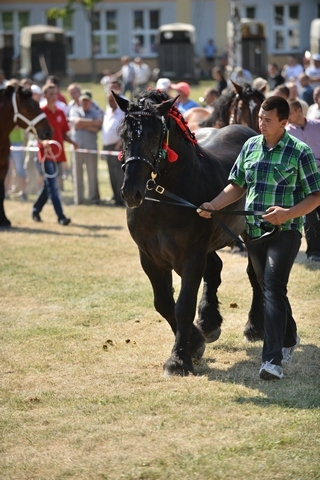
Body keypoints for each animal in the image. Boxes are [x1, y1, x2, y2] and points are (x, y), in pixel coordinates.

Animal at [114, 89, 264, 376]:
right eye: (124, 135)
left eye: (154, 136)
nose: (131, 192)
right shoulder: (150, 258)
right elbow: (164, 303)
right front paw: (194, 342)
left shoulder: (192, 256)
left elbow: (183, 306)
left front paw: (179, 358)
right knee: (215, 269)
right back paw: (209, 322)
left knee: (256, 275)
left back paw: (254, 327)